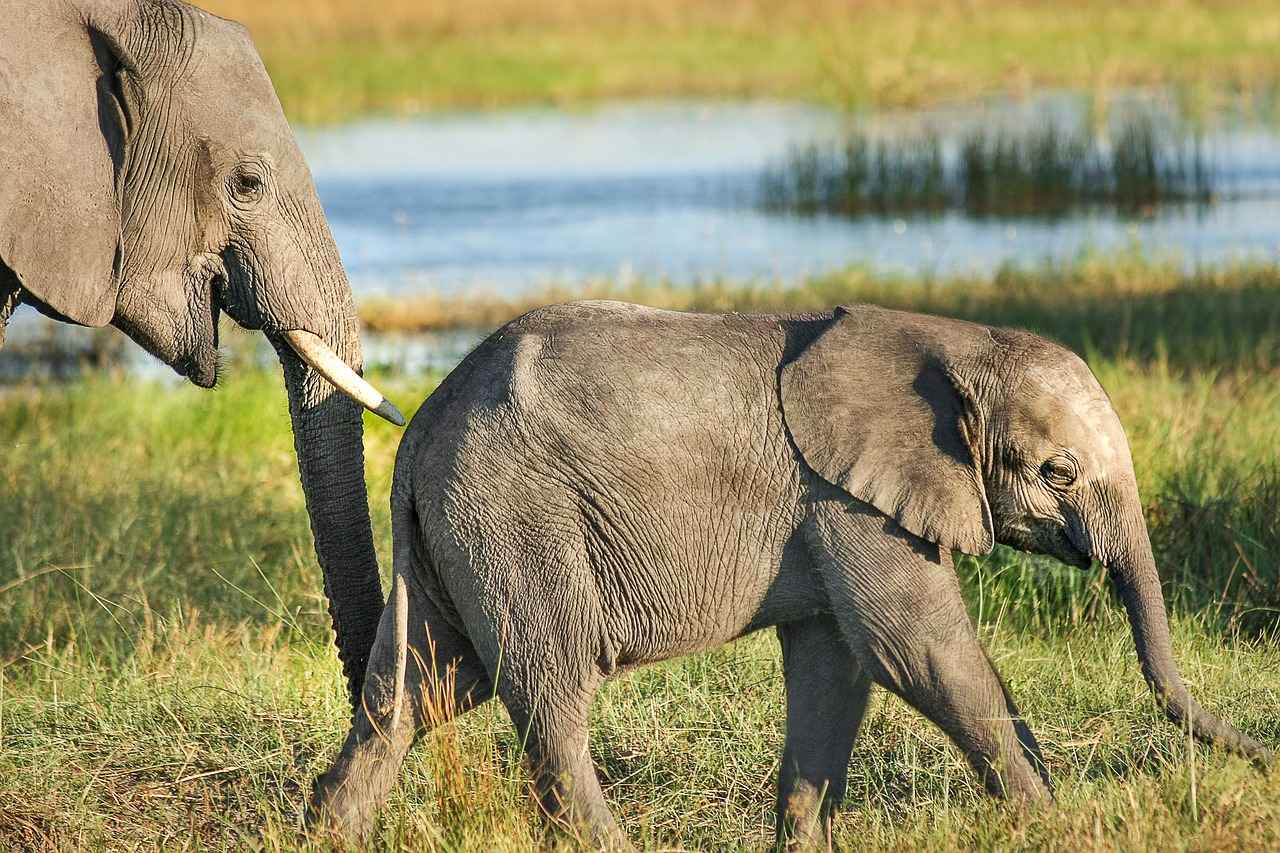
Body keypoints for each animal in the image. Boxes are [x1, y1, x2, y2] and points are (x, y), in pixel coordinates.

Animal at [312, 298, 1269, 845]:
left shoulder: (831, 507)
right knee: (548, 692)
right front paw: (1055, 823)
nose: (1265, 758)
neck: (954, 339)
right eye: (1059, 472)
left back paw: (326, 830)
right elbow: (916, 652)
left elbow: (835, 668)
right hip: (515, 521)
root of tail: (418, 431)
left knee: (417, 691)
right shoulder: (847, 495)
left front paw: (803, 842)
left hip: (461, 532)